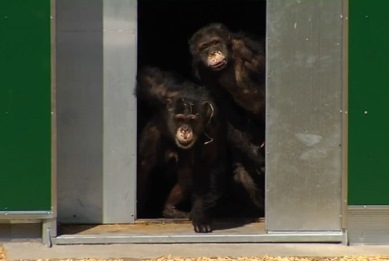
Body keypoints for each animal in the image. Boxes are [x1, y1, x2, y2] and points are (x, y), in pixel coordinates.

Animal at [136, 65, 226, 232]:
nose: (185, 130)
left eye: (192, 120)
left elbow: (207, 164)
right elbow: (145, 76)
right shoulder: (159, 88)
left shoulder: (213, 126)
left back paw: (170, 209)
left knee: (186, 179)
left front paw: (200, 215)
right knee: (144, 165)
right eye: (179, 119)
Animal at [188, 22, 266, 213]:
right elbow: (223, 107)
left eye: (215, 42)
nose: (213, 53)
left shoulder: (248, 47)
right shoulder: (203, 72)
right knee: (241, 177)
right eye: (204, 47)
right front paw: (255, 156)